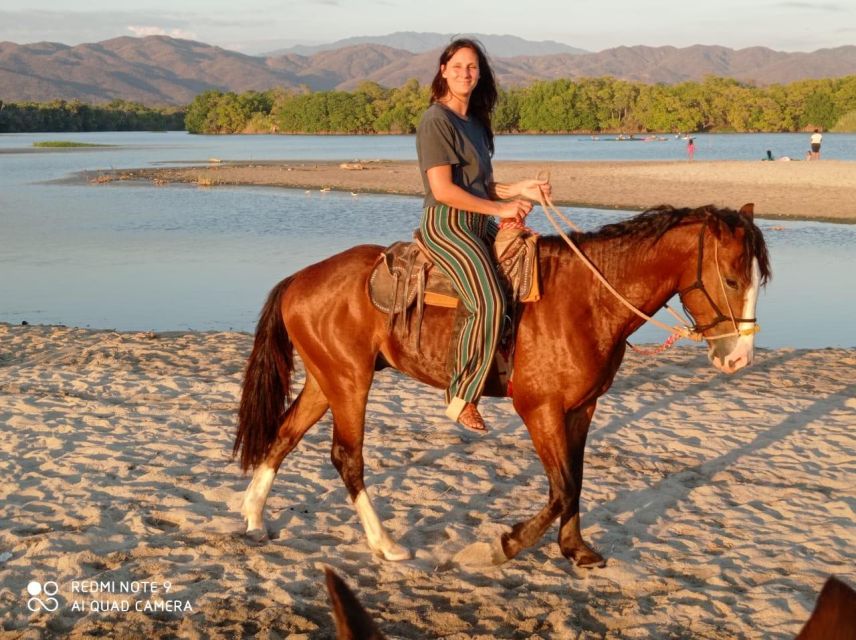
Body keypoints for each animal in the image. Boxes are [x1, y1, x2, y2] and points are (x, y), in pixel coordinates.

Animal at [232, 202, 768, 568]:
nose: (739, 358)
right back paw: (384, 544)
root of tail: (300, 278)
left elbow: (574, 482)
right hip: (349, 382)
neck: (586, 300)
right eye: (730, 279)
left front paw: (575, 549)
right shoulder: (539, 410)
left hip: (327, 380)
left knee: (285, 434)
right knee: (346, 457)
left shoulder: (582, 408)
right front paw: (504, 545)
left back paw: (255, 518)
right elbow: (561, 488)